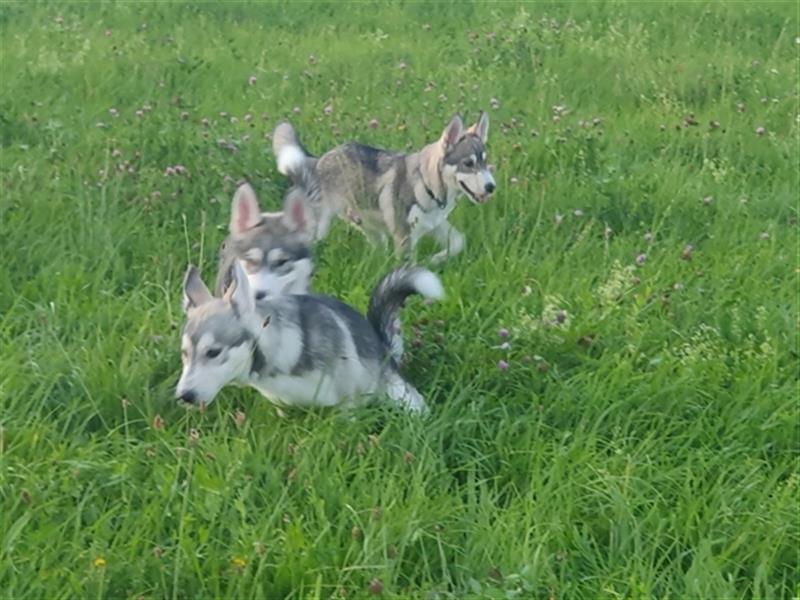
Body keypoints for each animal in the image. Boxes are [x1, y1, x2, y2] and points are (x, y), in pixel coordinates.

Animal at [174, 262, 444, 412]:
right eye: (184, 354)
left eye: (213, 352)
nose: (183, 396)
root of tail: (386, 351)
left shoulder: (348, 404)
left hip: (400, 395)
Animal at [272, 112, 494, 262]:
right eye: (468, 164)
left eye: (484, 162)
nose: (491, 186)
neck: (427, 184)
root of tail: (318, 161)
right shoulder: (404, 238)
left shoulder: (436, 224)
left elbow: (458, 242)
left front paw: (436, 259)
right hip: (319, 227)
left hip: (370, 228)